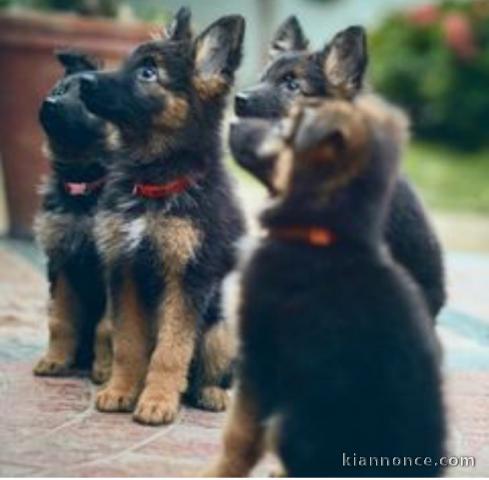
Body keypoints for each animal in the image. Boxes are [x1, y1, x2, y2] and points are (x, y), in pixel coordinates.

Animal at [81, 8, 248, 424]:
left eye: (148, 73)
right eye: (128, 62)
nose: (83, 81)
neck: (153, 182)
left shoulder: (188, 278)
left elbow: (172, 351)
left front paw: (157, 401)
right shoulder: (123, 269)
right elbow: (129, 344)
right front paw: (122, 390)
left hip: (220, 329)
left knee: (213, 372)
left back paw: (209, 393)